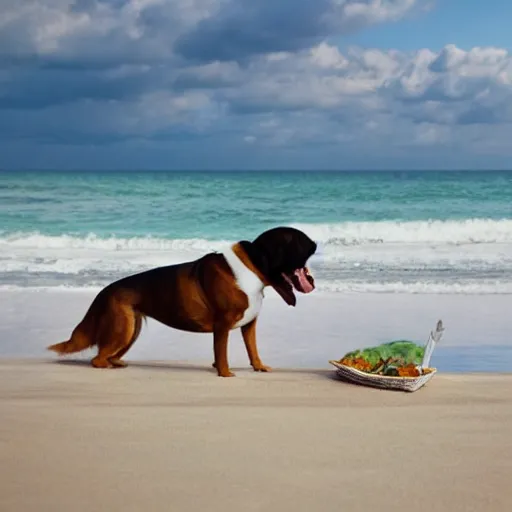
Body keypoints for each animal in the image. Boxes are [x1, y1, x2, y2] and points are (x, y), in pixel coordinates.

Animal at [47, 227, 316, 376]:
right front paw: (225, 374)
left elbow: (253, 349)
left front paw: (259, 367)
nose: (315, 243)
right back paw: (107, 366)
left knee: (108, 354)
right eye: (299, 241)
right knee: (97, 358)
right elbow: (222, 353)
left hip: (130, 329)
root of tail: (104, 291)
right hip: (122, 330)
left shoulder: (249, 326)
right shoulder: (222, 326)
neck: (253, 265)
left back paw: (118, 363)